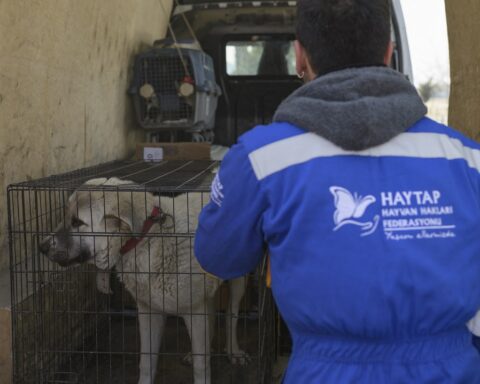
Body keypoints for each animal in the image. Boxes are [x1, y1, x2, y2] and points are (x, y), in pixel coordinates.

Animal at [8, 161, 274, 384]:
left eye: (77, 223)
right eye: (65, 217)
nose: (41, 247)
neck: (147, 238)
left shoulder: (193, 310)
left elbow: (202, 368)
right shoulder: (149, 313)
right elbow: (146, 362)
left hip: (237, 282)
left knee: (231, 315)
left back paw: (234, 351)